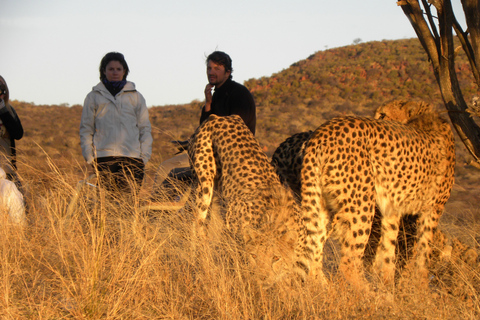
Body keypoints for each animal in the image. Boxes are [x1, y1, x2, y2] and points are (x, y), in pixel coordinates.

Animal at [187, 114, 300, 286]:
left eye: (275, 258)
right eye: (254, 256)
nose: (261, 276)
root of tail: (219, 116)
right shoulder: (233, 224)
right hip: (204, 185)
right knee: (197, 225)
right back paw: (199, 260)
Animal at [300, 106, 454, 286]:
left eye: (383, 114)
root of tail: (322, 133)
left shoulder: (392, 209)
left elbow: (388, 249)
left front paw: (387, 286)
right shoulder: (433, 210)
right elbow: (424, 253)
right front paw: (420, 287)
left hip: (321, 203)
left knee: (315, 254)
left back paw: (325, 287)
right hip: (361, 206)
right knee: (348, 265)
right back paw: (366, 292)